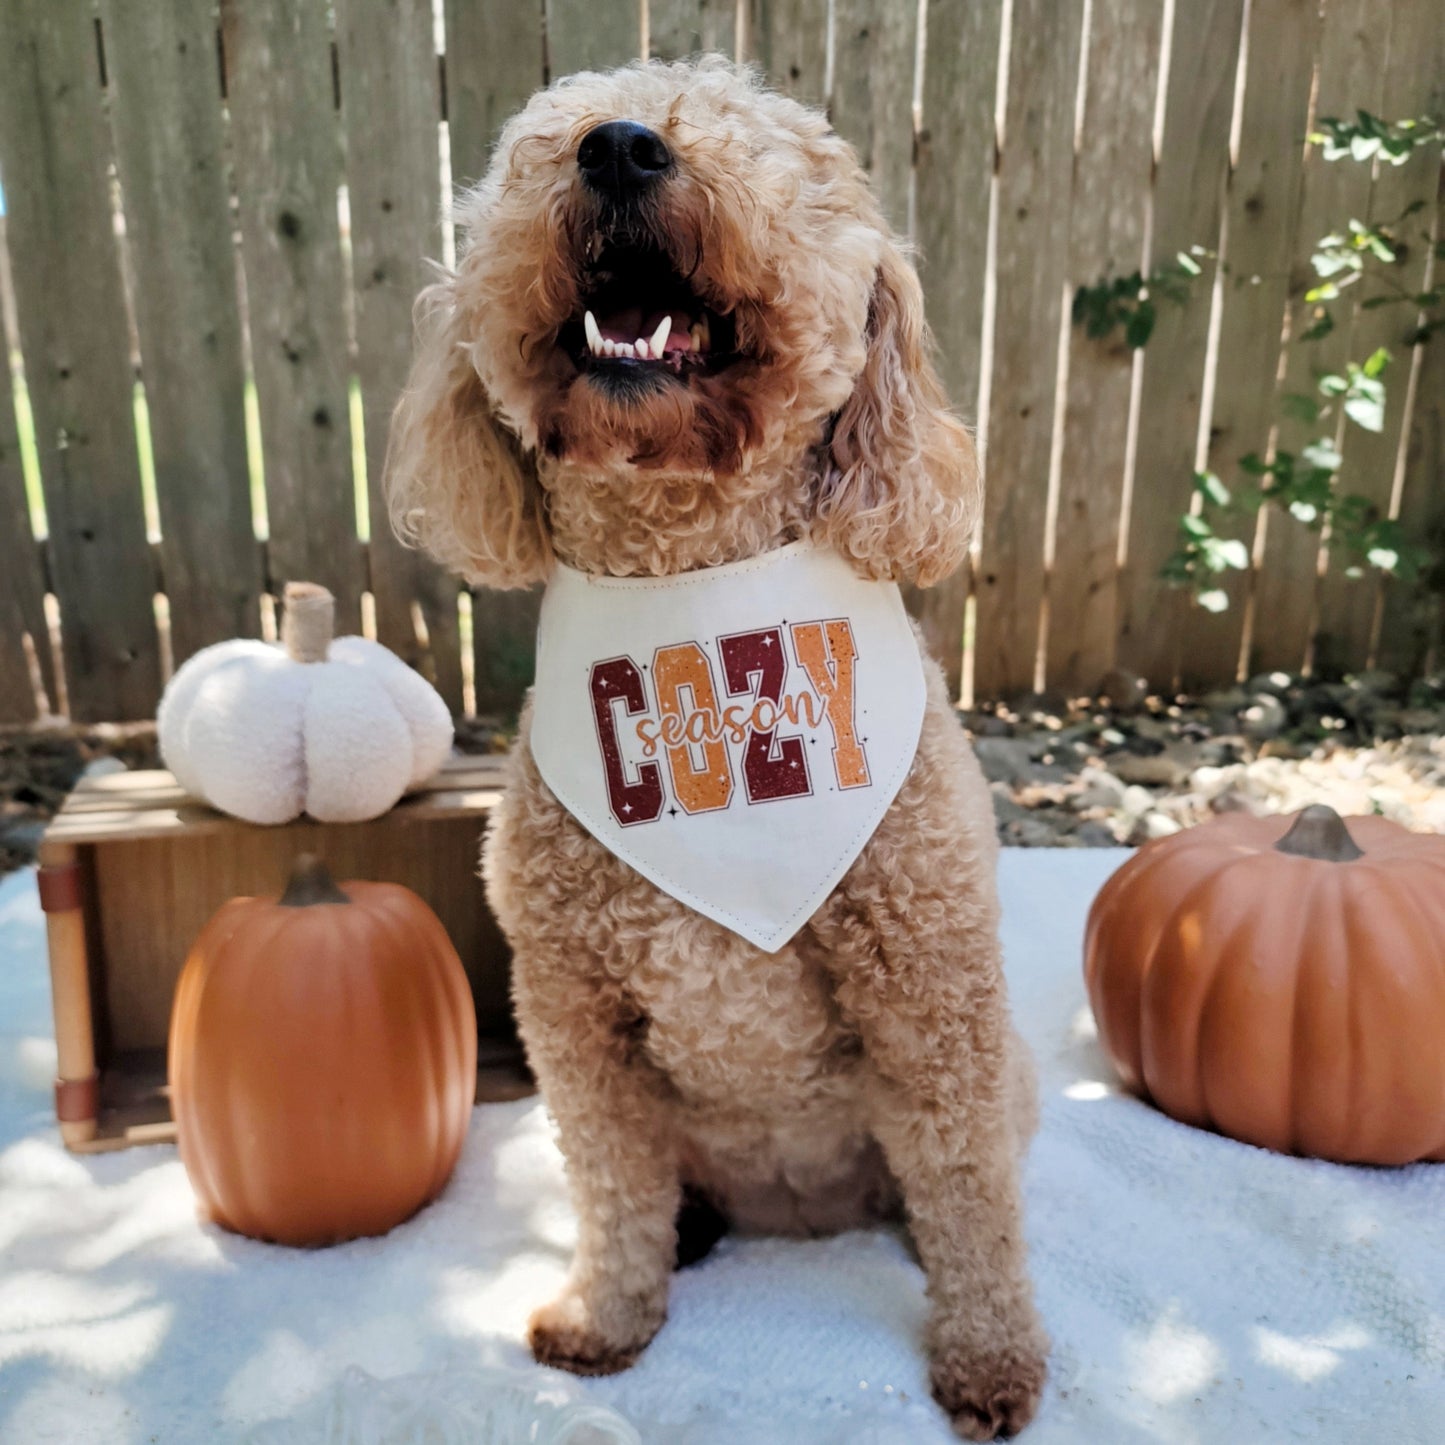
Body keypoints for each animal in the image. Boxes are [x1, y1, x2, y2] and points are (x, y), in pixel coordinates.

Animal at [390, 59, 1051, 1445]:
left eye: (787, 152)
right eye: (537, 140)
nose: (620, 147)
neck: (690, 600)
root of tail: (793, 1212)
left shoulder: (933, 994)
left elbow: (971, 1194)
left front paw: (989, 1354)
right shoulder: (571, 1013)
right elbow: (612, 1185)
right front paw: (608, 1314)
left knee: (949, 1185)